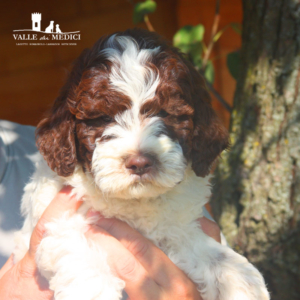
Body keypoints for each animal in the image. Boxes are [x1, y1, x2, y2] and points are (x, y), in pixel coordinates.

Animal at [13, 29, 270, 300]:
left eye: (166, 114)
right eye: (104, 118)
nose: (139, 163)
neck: (135, 203)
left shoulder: (177, 227)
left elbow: (208, 251)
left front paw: (240, 281)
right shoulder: (56, 222)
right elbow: (77, 250)